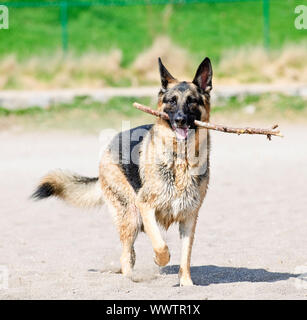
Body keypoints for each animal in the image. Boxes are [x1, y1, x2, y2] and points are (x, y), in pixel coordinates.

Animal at [32, 57, 213, 284]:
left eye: (192, 101)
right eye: (171, 100)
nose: (180, 120)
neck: (180, 159)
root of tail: (109, 146)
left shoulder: (189, 218)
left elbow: (185, 257)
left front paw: (186, 283)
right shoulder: (146, 206)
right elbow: (161, 245)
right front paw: (160, 259)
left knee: (130, 253)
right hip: (131, 215)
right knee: (126, 254)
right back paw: (130, 278)